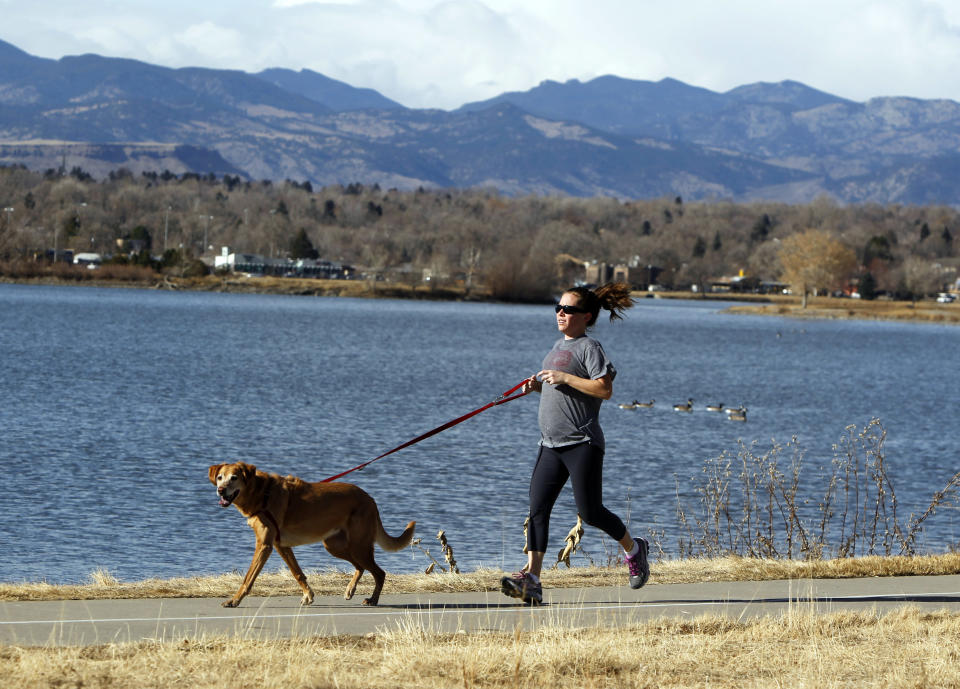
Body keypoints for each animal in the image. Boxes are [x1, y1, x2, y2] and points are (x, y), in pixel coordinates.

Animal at [208, 462, 414, 608]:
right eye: (220, 477)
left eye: (234, 478)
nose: (220, 490)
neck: (262, 494)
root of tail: (370, 499)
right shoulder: (281, 545)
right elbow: (297, 573)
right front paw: (308, 595)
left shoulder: (265, 545)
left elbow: (248, 578)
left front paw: (234, 600)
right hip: (334, 545)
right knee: (361, 567)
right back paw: (351, 589)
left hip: (358, 546)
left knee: (379, 573)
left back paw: (373, 599)